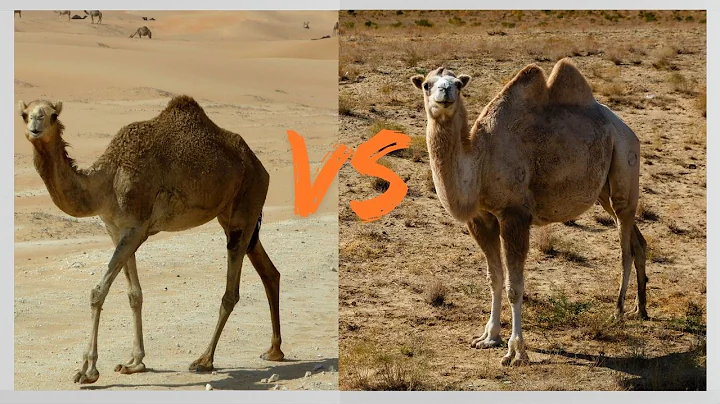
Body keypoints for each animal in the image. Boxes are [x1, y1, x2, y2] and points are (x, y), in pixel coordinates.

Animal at [17, 96, 284, 384]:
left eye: (52, 115)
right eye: (24, 114)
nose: (35, 127)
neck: (107, 181)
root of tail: (261, 166)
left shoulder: (137, 228)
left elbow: (98, 292)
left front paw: (87, 370)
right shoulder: (116, 230)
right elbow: (134, 294)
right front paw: (135, 362)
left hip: (246, 204)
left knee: (231, 290)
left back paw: (205, 359)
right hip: (235, 216)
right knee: (269, 272)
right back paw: (274, 350)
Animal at [410, 58, 648, 366]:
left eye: (459, 84)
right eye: (427, 84)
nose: (445, 92)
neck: (480, 163)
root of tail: (628, 130)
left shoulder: (515, 216)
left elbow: (515, 286)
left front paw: (515, 351)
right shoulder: (481, 218)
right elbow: (494, 278)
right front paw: (488, 337)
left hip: (625, 164)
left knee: (625, 247)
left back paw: (617, 312)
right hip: (603, 192)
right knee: (637, 240)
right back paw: (640, 309)